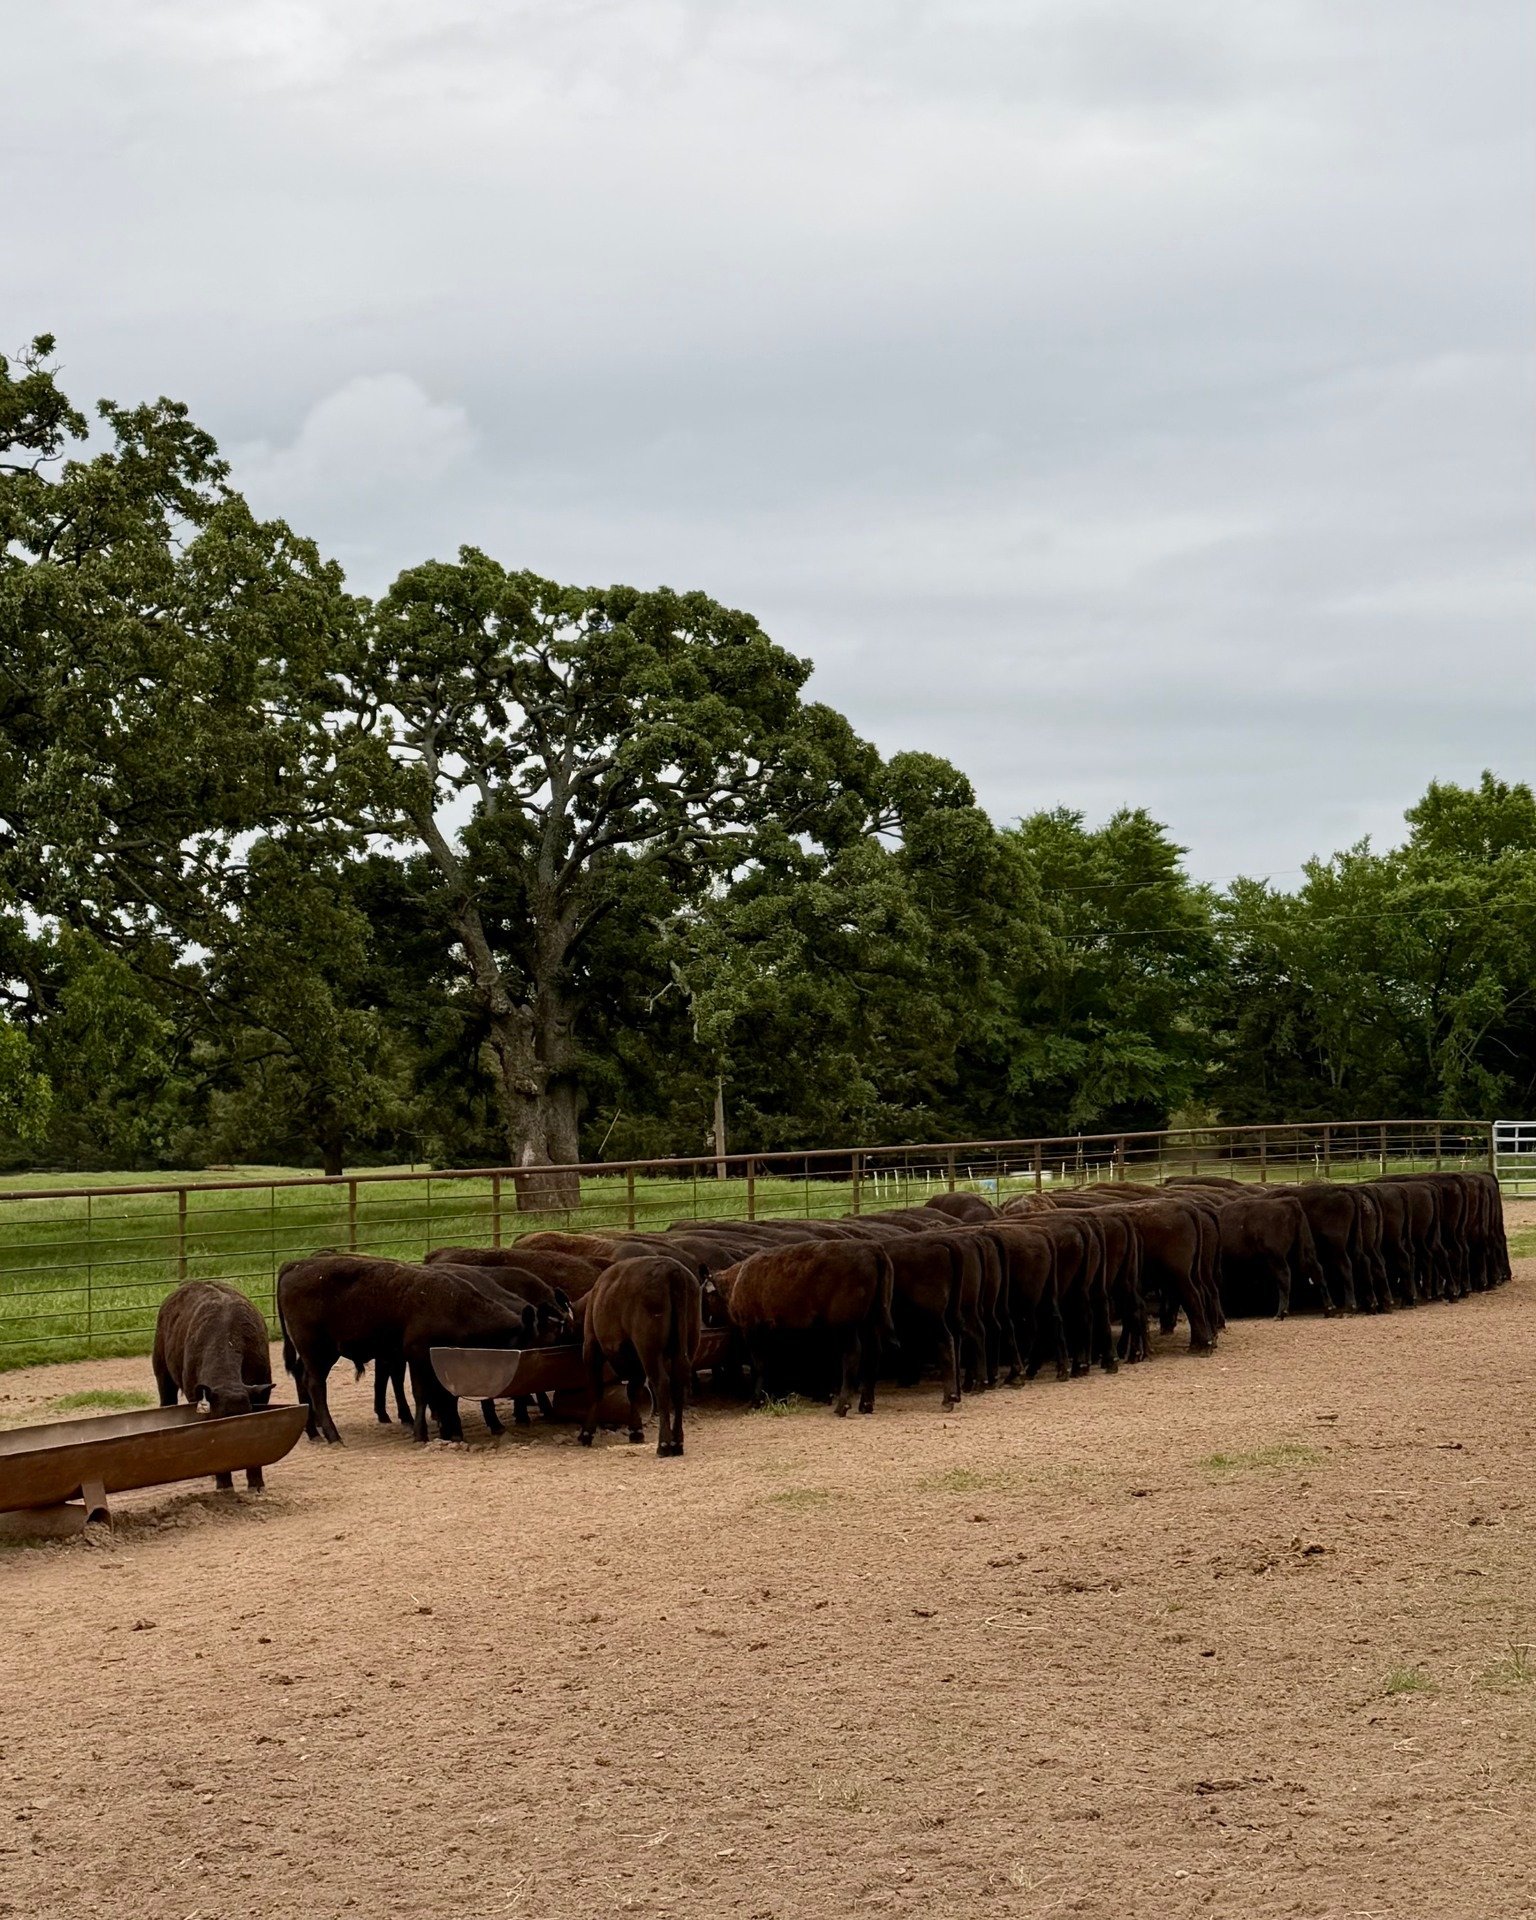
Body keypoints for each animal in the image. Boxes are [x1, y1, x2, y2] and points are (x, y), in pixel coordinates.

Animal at [577, 1256, 702, 1456]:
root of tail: (673, 1270)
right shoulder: (635, 1360)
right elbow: (633, 1391)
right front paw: (636, 1430)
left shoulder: (591, 1346)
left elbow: (597, 1389)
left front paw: (587, 1433)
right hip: (687, 1343)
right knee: (679, 1384)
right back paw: (677, 1442)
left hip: (649, 1347)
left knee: (661, 1383)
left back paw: (664, 1444)